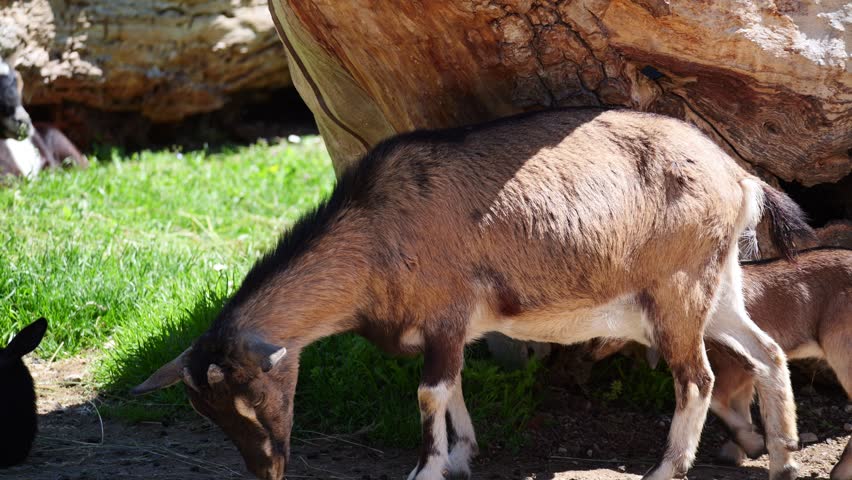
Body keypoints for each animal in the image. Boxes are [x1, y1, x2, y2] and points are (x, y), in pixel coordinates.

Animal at [132, 107, 812, 480]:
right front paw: (463, 455)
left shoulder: (445, 312)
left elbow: (430, 391)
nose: (267, 469)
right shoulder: (453, 328)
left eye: (249, 401)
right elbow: (454, 385)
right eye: (207, 413)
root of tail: (739, 177)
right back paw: (783, 455)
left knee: (697, 378)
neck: (375, 231)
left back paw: (665, 468)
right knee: (768, 351)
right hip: (717, 287)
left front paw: (428, 466)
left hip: (676, 291)